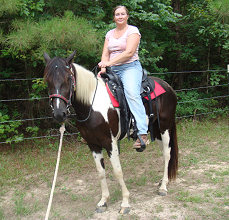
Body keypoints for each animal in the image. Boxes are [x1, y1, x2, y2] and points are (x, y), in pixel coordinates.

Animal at [43, 51, 179, 213]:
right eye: (47, 80)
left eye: (68, 78)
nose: (59, 113)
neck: (91, 106)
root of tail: (168, 86)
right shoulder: (93, 145)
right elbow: (101, 172)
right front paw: (103, 201)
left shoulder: (110, 143)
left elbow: (117, 171)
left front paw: (125, 202)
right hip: (157, 131)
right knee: (164, 153)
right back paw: (162, 181)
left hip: (165, 127)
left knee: (167, 153)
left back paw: (163, 187)